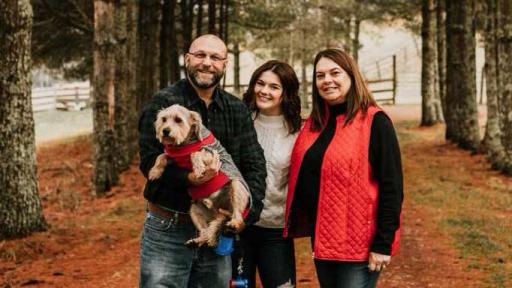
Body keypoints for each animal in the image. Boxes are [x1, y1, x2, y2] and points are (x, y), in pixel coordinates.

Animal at [148, 104, 250, 246]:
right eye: (163, 119)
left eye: (178, 120)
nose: (165, 131)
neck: (184, 145)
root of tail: (217, 212)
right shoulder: (173, 158)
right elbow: (161, 156)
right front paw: (154, 172)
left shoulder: (212, 155)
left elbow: (195, 153)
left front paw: (198, 168)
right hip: (194, 210)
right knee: (205, 233)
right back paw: (196, 241)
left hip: (235, 186)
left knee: (238, 215)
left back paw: (234, 222)